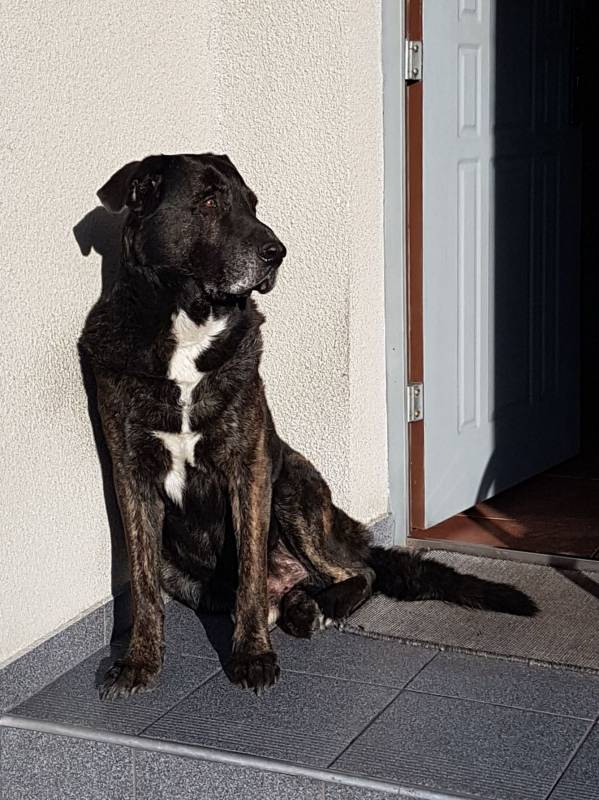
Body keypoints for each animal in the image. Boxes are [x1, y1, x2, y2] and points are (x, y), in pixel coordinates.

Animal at [79, 153, 537, 699]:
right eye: (209, 202)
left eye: (252, 203)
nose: (277, 253)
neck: (188, 329)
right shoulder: (131, 475)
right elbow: (144, 584)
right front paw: (139, 662)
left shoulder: (251, 467)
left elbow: (251, 572)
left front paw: (252, 656)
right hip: (193, 566)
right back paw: (301, 606)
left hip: (295, 487)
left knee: (358, 572)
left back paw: (320, 608)